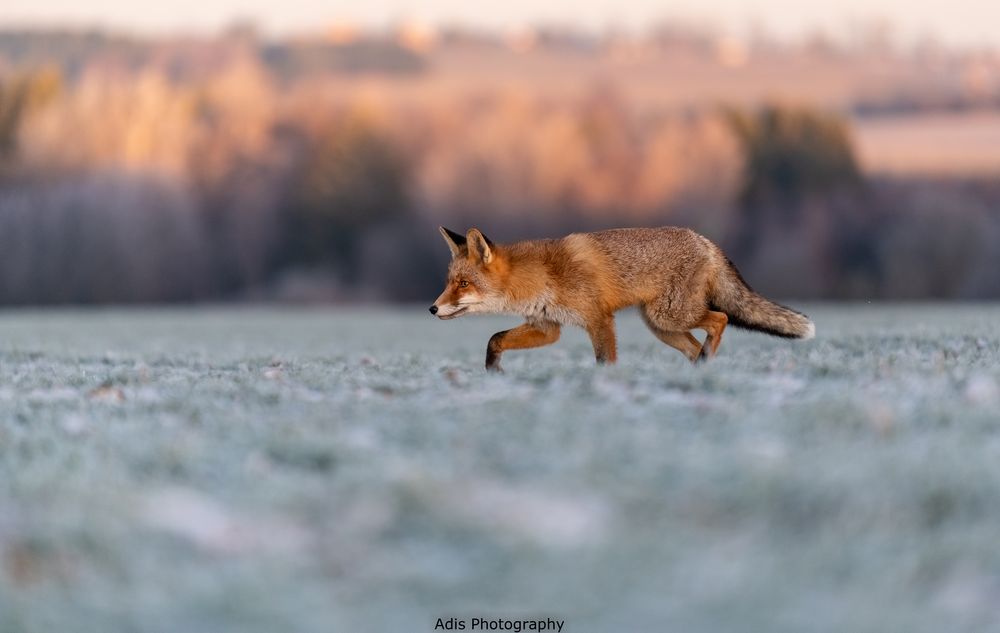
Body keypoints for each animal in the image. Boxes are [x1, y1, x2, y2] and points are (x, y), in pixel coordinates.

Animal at [430, 226, 812, 370]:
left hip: (668, 316)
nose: (432, 308)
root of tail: (705, 240)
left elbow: (605, 361)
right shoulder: (547, 326)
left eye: (463, 283)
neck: (541, 275)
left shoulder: (598, 319)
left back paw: (706, 361)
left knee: (722, 319)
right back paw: (700, 372)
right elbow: (495, 339)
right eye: (450, 282)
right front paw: (492, 372)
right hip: (662, 327)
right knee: (696, 345)